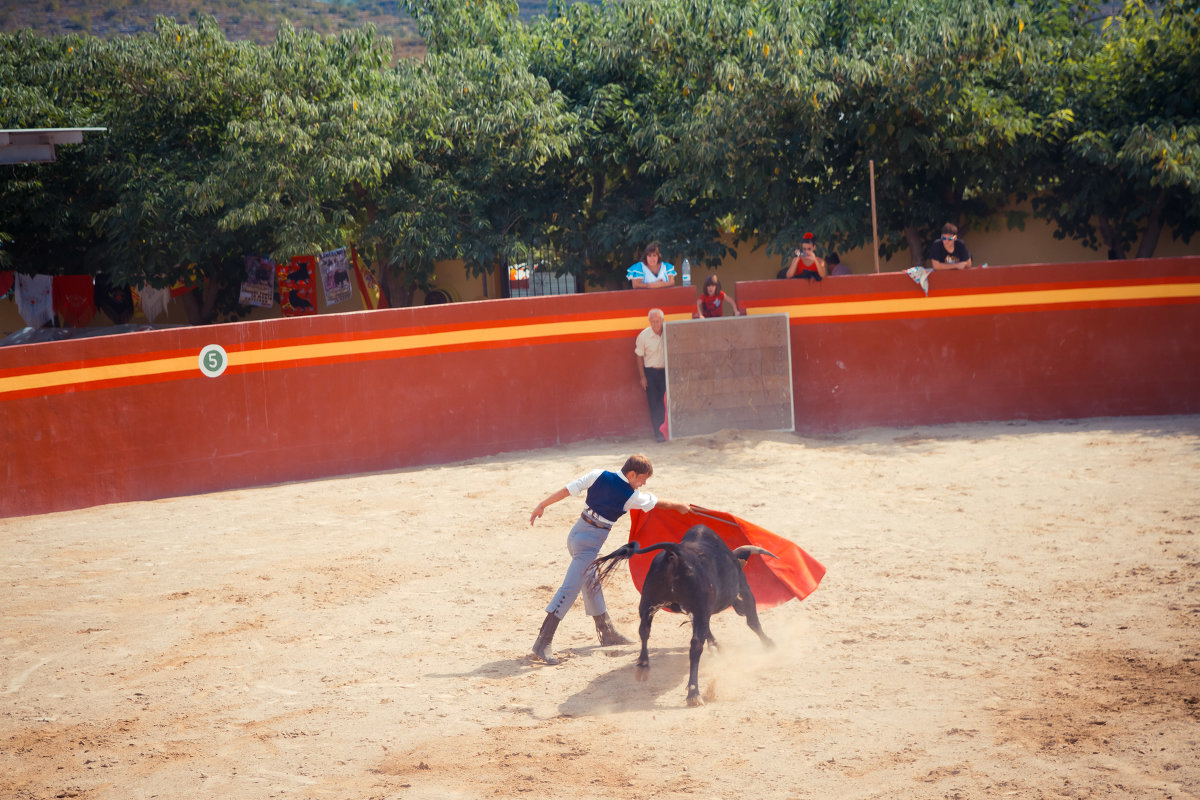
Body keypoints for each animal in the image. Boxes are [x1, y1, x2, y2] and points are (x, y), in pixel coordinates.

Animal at [583, 525, 772, 705]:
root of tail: (675, 552)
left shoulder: (697, 611)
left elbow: (707, 630)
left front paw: (716, 646)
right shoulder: (740, 592)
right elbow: (753, 621)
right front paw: (770, 644)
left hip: (648, 603)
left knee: (644, 630)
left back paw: (643, 666)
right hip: (697, 607)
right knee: (695, 645)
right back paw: (694, 693)